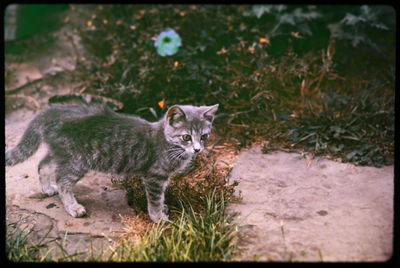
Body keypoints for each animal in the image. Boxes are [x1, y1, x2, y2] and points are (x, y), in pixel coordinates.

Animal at [5, 103, 219, 223]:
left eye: (204, 136)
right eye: (186, 137)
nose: (198, 149)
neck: (168, 143)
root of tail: (50, 111)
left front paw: (163, 209)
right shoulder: (154, 176)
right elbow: (155, 199)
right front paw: (158, 217)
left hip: (61, 152)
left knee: (43, 164)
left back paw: (48, 188)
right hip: (77, 160)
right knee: (62, 180)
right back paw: (73, 206)